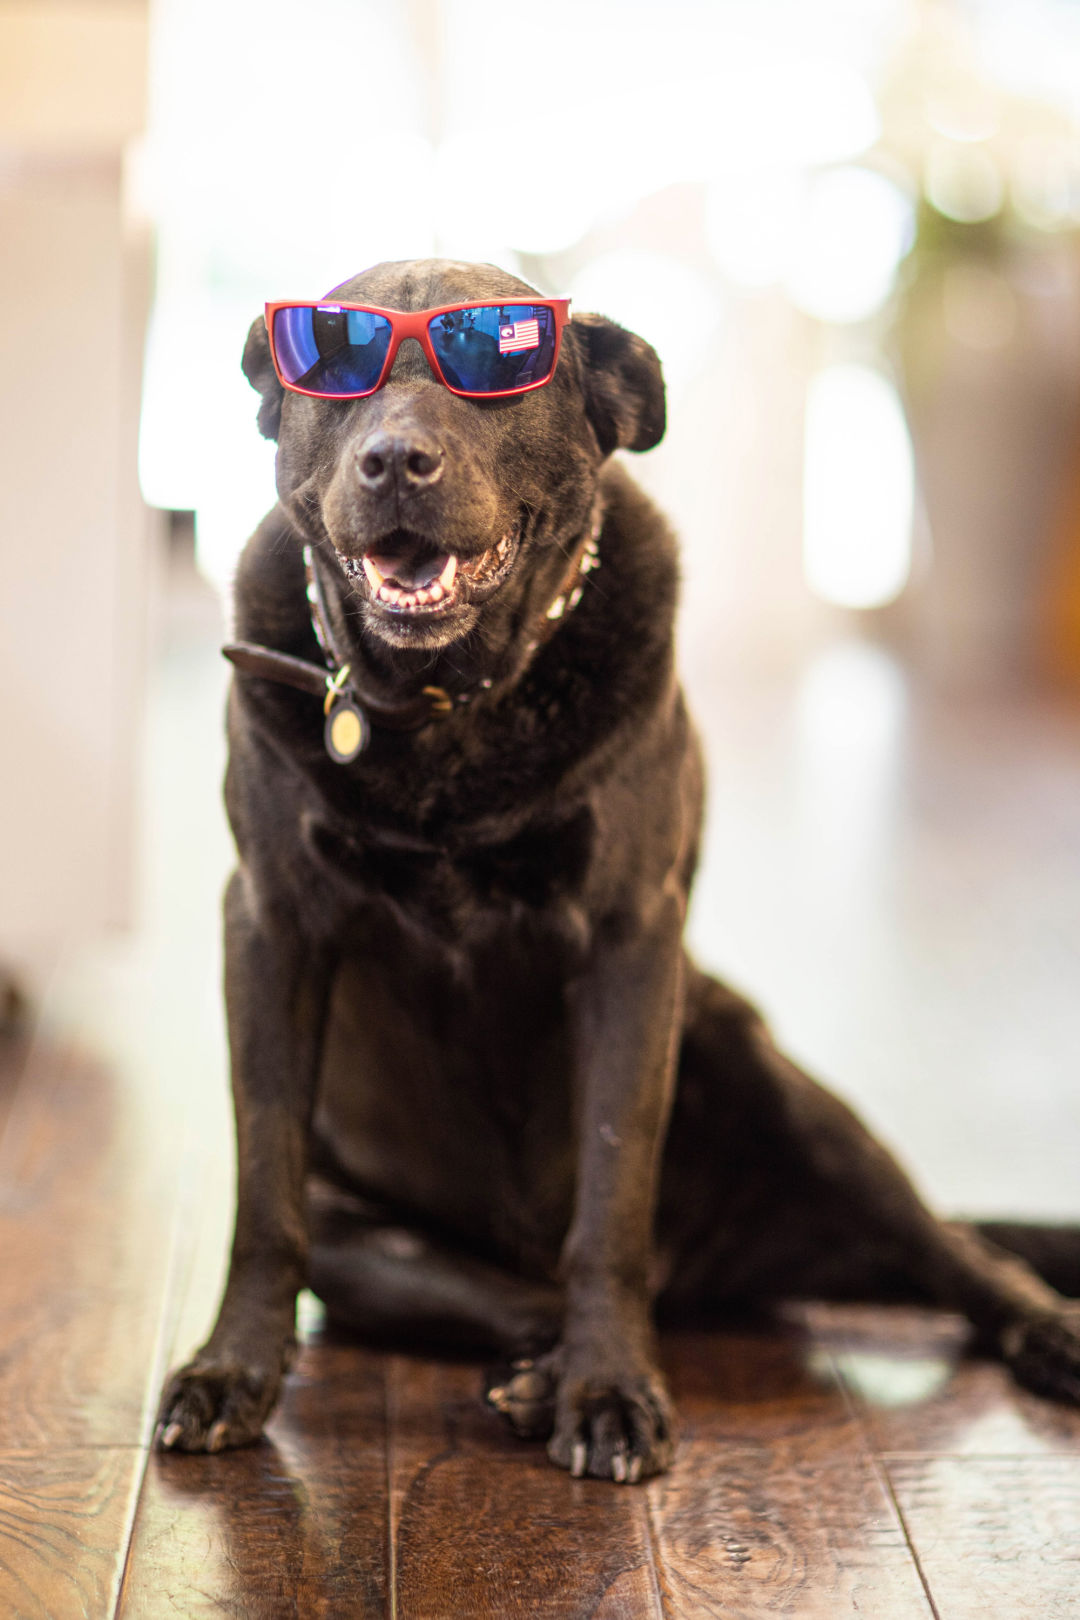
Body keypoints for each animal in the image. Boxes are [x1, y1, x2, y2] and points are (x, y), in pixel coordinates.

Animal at [153, 262, 1080, 1483]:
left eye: (495, 363)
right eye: (334, 360)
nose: (394, 461)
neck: (450, 711)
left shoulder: (629, 942)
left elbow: (609, 1194)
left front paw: (608, 1388)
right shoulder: (270, 927)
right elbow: (263, 1193)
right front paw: (234, 1371)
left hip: (771, 1080)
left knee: (959, 1256)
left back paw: (1043, 1330)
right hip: (369, 1251)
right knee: (511, 1296)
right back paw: (531, 1373)